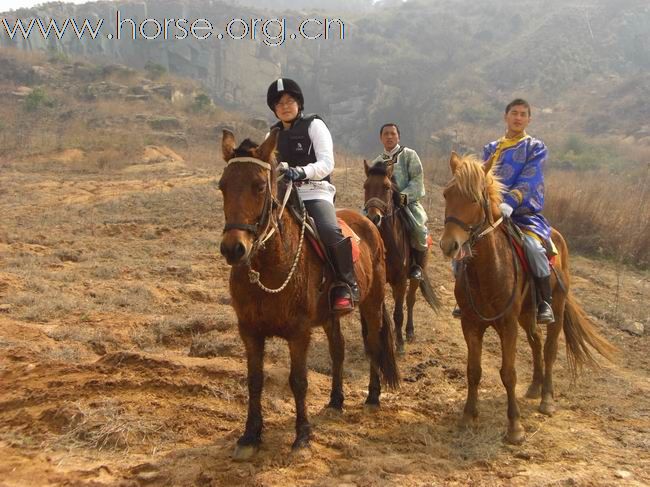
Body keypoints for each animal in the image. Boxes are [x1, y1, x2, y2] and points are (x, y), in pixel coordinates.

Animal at [219, 127, 400, 460]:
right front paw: (250, 435)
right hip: (330, 316)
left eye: (259, 186)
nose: (233, 248)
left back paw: (372, 396)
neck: (270, 265)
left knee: (373, 344)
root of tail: (370, 223)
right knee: (338, 350)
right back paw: (336, 401)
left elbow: (298, 381)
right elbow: (254, 381)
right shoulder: (249, 331)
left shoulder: (299, 331)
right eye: (222, 186)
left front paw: (302, 435)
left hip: (372, 301)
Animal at [362, 161, 438, 354]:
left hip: (416, 274)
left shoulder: (401, 280)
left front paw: (400, 344)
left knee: (410, 301)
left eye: (387, 187)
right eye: (366, 186)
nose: (373, 218)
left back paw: (409, 332)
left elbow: (398, 313)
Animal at [438, 153, 616, 446]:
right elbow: (473, 370)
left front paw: (515, 427)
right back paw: (534, 387)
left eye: (474, 199)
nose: (449, 245)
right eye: (446, 194)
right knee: (536, 342)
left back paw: (546, 399)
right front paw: (467, 418)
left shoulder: (507, 324)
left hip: (555, 308)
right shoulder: (470, 324)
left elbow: (508, 374)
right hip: (526, 314)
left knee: (550, 348)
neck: (488, 269)